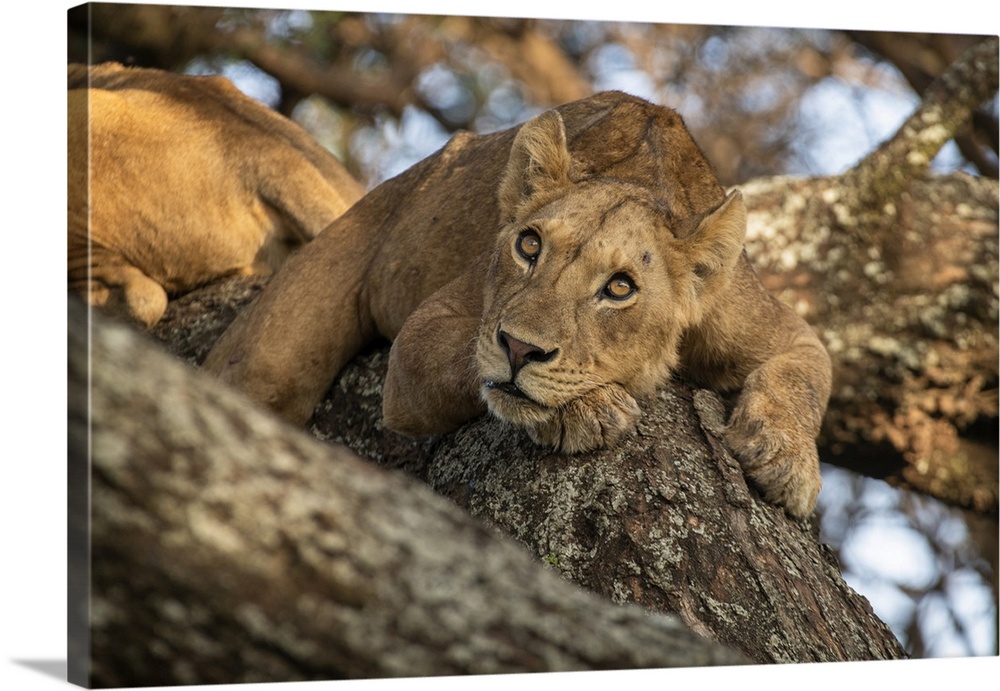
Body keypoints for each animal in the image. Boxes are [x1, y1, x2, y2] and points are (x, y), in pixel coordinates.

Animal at [201, 89, 828, 516]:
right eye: (529, 245)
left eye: (619, 287)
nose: (520, 350)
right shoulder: (425, 337)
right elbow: (464, 360)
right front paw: (586, 408)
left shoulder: (774, 326)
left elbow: (807, 373)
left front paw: (784, 458)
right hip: (274, 351)